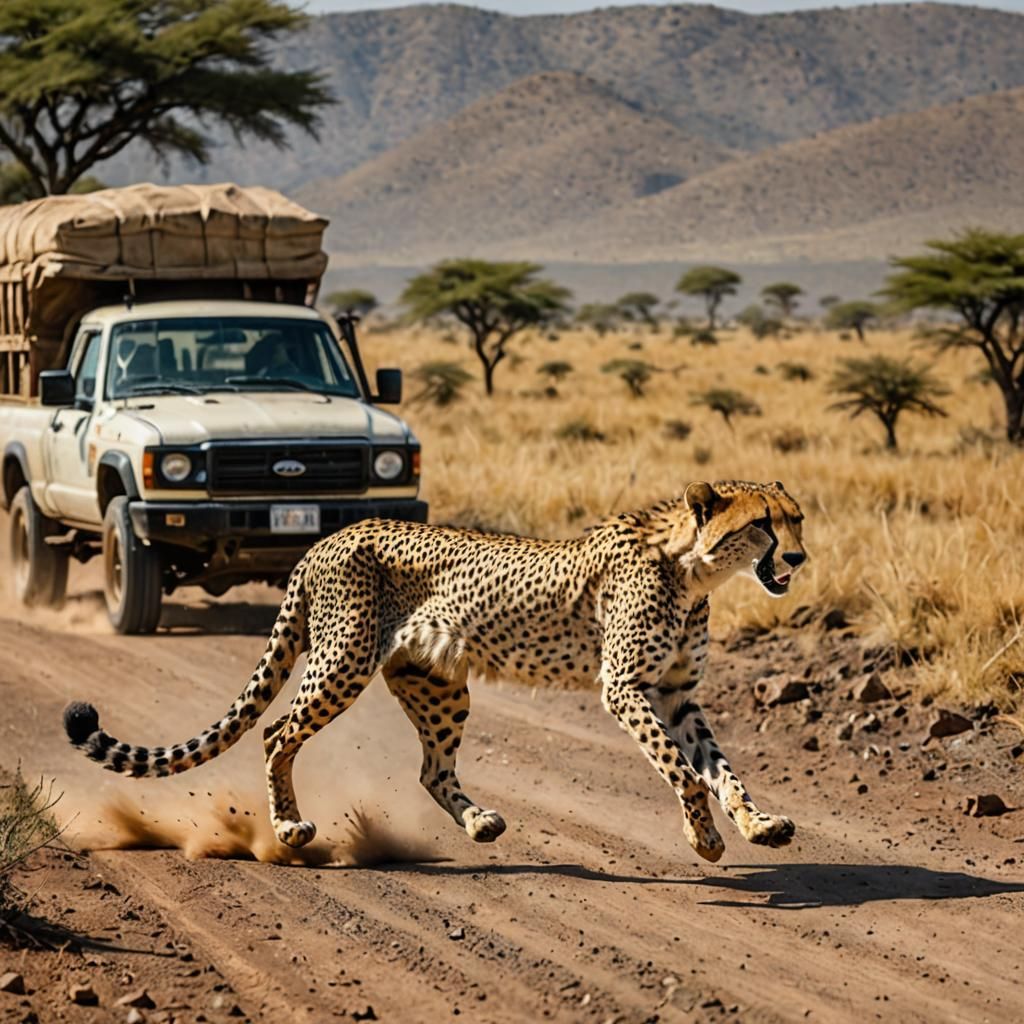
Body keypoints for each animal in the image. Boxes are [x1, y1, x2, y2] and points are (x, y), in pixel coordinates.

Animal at [63, 478, 807, 863]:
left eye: (797, 519)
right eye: (764, 526)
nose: (799, 559)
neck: (692, 569)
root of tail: (330, 536)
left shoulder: (678, 694)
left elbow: (721, 767)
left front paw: (756, 823)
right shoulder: (625, 688)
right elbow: (683, 768)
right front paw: (704, 836)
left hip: (437, 684)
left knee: (431, 768)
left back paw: (478, 822)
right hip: (344, 661)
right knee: (276, 734)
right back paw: (290, 831)